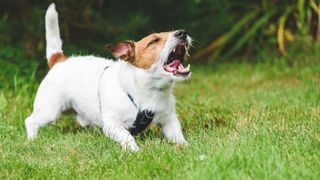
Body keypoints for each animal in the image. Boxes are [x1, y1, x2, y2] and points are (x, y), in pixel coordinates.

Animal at [25, 3, 192, 151]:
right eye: (154, 41)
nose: (182, 32)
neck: (150, 91)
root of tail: (60, 60)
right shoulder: (113, 125)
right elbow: (127, 136)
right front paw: (135, 150)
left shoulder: (169, 120)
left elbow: (178, 136)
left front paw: (187, 147)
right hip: (49, 111)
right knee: (30, 121)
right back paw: (32, 140)